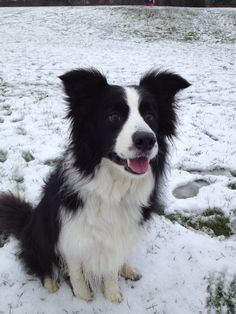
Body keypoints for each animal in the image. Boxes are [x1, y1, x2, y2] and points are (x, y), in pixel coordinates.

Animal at [0, 68, 189, 302]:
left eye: (150, 116)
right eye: (113, 117)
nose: (146, 140)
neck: (114, 188)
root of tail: (27, 221)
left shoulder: (117, 237)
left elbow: (110, 268)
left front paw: (112, 293)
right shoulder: (69, 235)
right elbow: (75, 270)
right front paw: (83, 296)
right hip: (41, 231)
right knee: (38, 260)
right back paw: (50, 282)